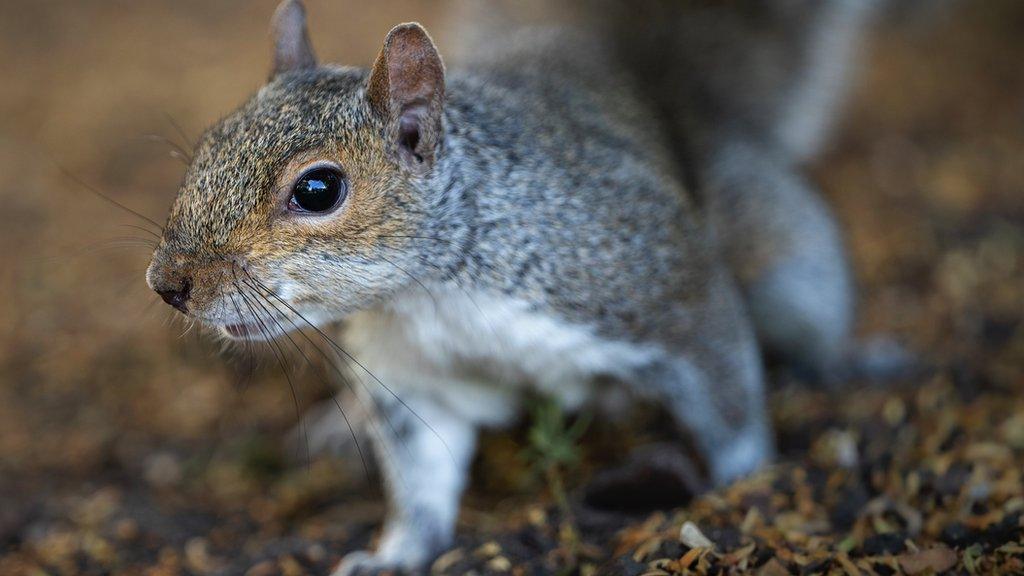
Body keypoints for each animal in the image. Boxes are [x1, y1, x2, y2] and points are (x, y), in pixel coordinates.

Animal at [146, 2, 897, 569]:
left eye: (318, 189)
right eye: (208, 145)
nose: (167, 283)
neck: (430, 293)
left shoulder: (659, 285)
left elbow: (725, 388)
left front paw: (742, 483)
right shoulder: (411, 378)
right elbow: (421, 479)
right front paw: (396, 554)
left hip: (783, 254)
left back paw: (848, 359)